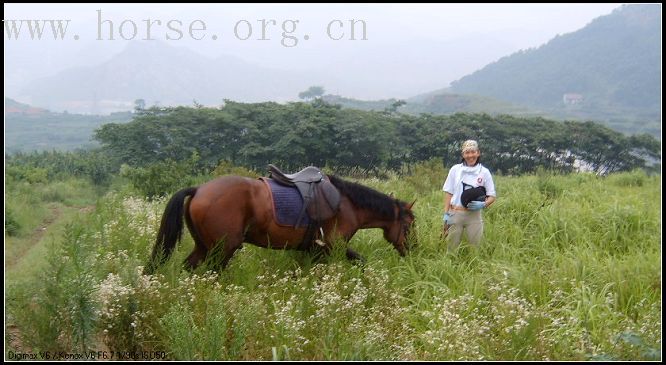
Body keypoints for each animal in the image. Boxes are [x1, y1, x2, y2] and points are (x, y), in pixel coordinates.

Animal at [144, 173, 416, 272]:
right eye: (410, 224)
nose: (413, 250)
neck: (347, 203)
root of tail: (199, 189)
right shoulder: (334, 246)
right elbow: (360, 261)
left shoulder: (315, 251)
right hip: (222, 249)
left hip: (203, 246)